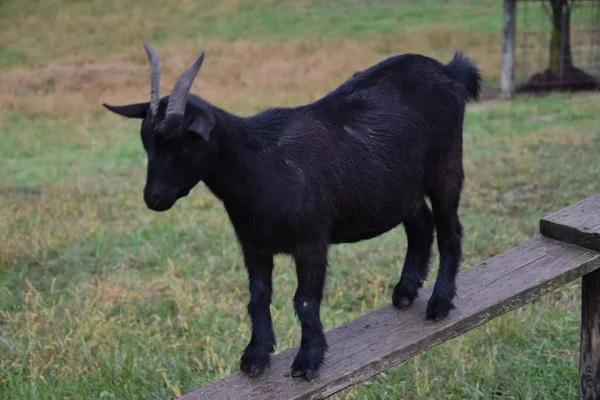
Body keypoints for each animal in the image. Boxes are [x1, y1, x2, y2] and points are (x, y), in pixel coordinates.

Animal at [103, 43, 482, 382]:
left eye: (184, 143)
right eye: (147, 143)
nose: (154, 197)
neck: (261, 165)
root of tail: (451, 71)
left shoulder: (311, 241)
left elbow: (305, 301)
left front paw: (308, 360)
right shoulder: (253, 244)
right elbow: (258, 297)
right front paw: (255, 356)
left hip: (447, 166)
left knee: (450, 230)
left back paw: (440, 303)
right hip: (401, 186)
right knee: (421, 225)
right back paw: (405, 291)